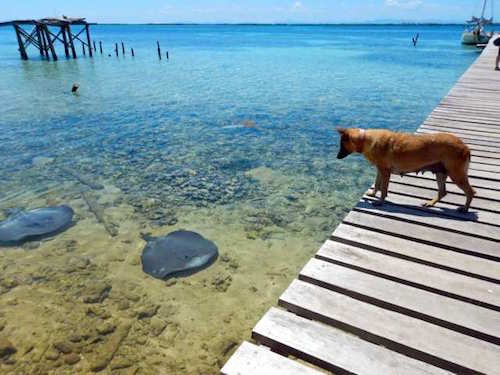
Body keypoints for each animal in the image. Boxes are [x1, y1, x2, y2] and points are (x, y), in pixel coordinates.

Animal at [338, 129, 474, 212]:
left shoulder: (385, 172)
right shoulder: (380, 170)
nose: (337, 157)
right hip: (441, 173)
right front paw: (373, 194)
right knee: (443, 192)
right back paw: (430, 203)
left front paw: (380, 201)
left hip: (456, 174)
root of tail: (465, 147)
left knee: (471, 192)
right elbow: (377, 184)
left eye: (341, 145)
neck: (366, 139)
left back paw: (464, 209)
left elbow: (383, 189)